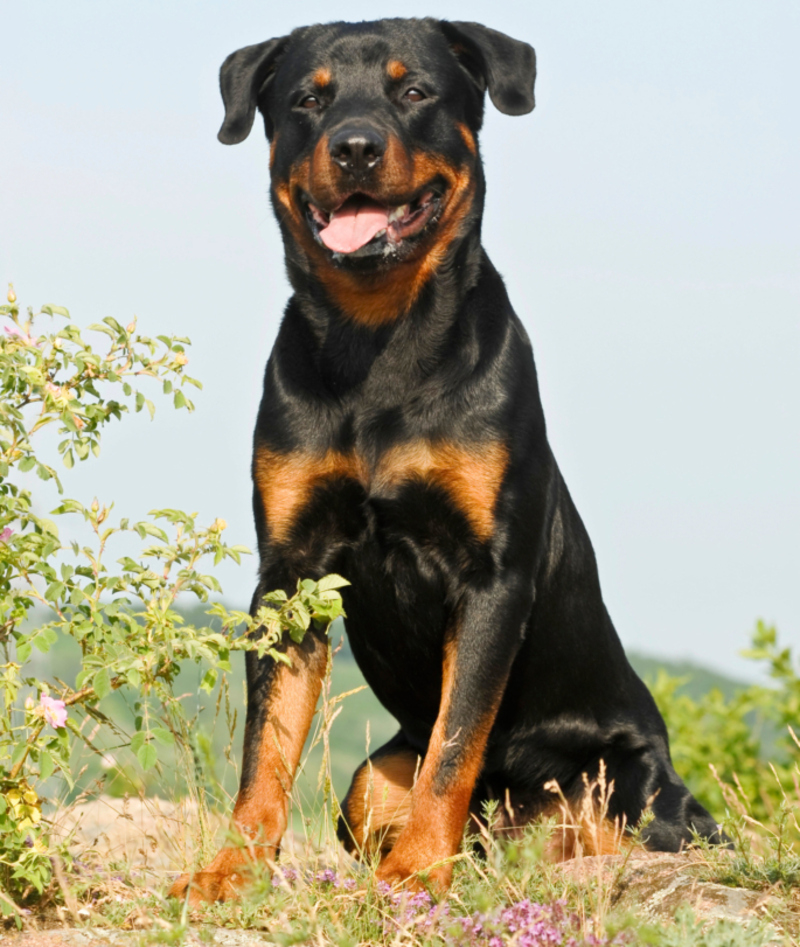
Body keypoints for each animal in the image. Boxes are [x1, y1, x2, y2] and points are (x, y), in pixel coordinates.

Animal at [172, 16, 720, 904]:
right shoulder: (289, 574)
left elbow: (458, 740)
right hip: (370, 781)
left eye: (416, 91)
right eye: (307, 100)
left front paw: (420, 868)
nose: (355, 147)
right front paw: (231, 868)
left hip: (632, 791)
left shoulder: (490, 573)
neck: (377, 339)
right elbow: (267, 749)